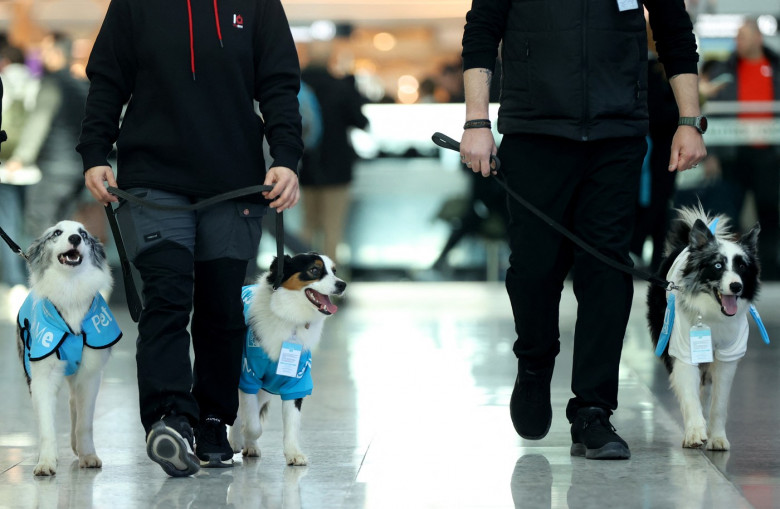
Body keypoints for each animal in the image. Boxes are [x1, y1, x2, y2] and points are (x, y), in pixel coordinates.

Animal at [14, 220, 120, 474]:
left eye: (83, 234)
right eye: (57, 233)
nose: (74, 238)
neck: (70, 288)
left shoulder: (90, 373)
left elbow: (85, 422)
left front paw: (88, 455)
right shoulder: (42, 374)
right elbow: (46, 424)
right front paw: (46, 462)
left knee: (74, 403)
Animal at [227, 252, 346, 466]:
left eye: (334, 271)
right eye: (314, 270)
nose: (342, 285)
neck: (290, 320)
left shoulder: (296, 379)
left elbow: (291, 422)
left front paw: (294, 454)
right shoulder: (248, 375)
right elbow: (253, 424)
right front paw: (243, 436)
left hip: (266, 388)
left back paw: (250, 446)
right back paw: (235, 441)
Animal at [644, 204, 760, 450]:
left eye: (742, 266)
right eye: (717, 265)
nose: (736, 286)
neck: (711, 315)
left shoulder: (727, 358)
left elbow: (719, 402)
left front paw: (717, 437)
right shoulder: (682, 350)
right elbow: (689, 392)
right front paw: (695, 432)